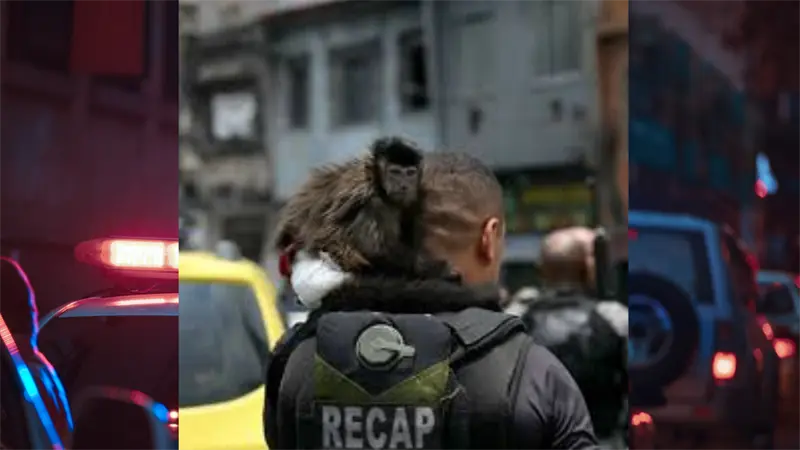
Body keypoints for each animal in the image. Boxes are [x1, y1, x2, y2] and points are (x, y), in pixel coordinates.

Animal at [273, 136, 453, 280]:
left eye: (410, 173)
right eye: (395, 172)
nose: (404, 185)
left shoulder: (418, 192)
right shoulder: (360, 185)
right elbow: (328, 233)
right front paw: (433, 268)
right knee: (375, 205)